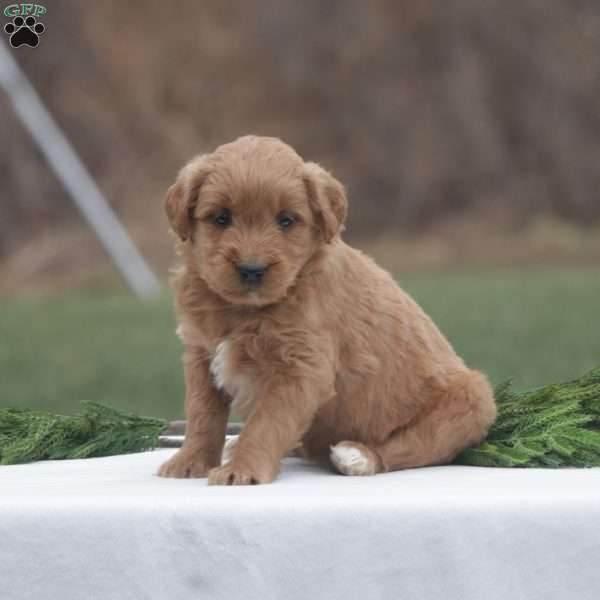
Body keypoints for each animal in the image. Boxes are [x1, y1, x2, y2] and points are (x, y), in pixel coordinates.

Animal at [158, 135, 496, 482]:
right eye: (221, 218)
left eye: (286, 221)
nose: (252, 270)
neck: (245, 310)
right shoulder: (201, 356)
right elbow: (202, 415)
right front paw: (191, 462)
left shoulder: (301, 368)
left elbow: (265, 423)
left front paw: (242, 470)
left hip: (472, 401)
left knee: (412, 447)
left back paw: (358, 457)